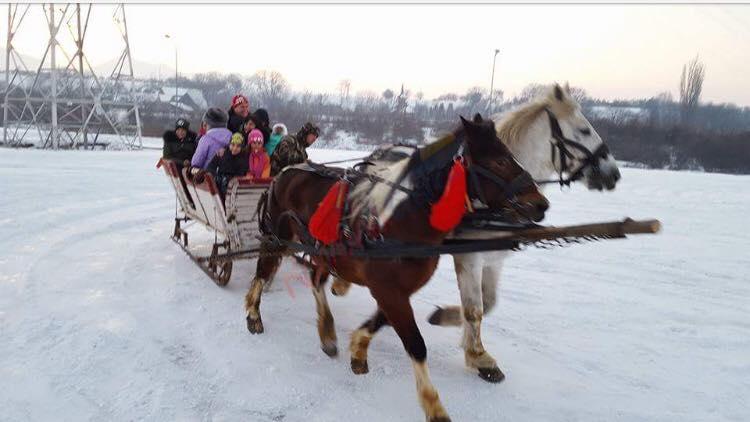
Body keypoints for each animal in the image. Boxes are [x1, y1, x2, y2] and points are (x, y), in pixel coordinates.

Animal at [247, 113, 552, 420]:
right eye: (499, 161)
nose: (541, 204)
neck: (398, 221)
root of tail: (285, 172)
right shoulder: (388, 290)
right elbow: (416, 344)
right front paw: (433, 405)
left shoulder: (396, 290)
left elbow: (380, 321)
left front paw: (358, 348)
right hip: (278, 236)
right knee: (264, 270)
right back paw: (253, 313)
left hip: (323, 250)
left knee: (315, 279)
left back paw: (327, 332)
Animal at [334, 82, 624, 382]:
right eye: (584, 130)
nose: (613, 174)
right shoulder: (469, 257)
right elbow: (475, 309)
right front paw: (479, 356)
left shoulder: (494, 257)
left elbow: (490, 302)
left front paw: (450, 321)